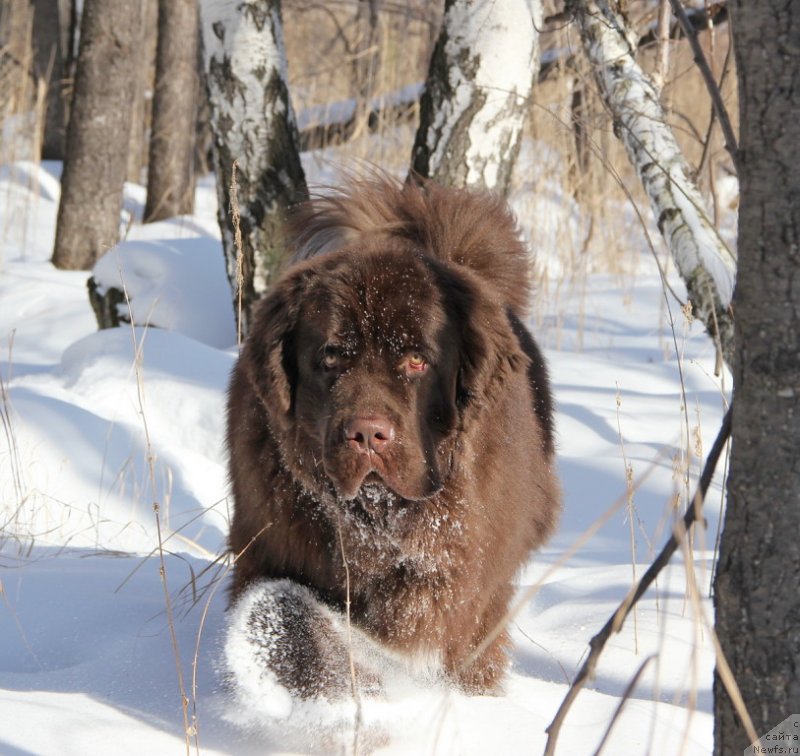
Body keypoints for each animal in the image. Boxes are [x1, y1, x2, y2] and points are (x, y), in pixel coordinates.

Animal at [225, 174, 564, 700]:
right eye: (331, 356)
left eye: (417, 360)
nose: (367, 434)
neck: (375, 516)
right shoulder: (270, 540)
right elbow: (285, 612)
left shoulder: (450, 575)